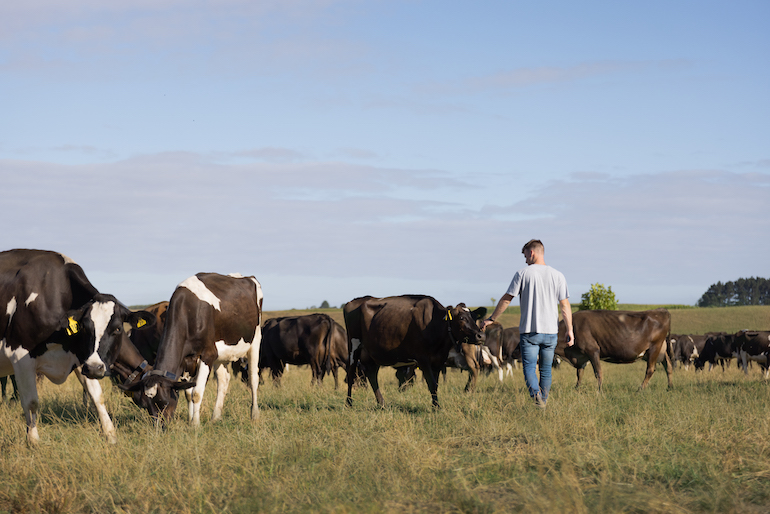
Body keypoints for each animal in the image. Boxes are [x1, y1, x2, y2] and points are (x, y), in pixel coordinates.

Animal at [0, 249, 155, 444]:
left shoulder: (83, 359)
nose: (96, 368)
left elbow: (97, 396)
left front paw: (110, 435)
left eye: (118, 329)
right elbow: (31, 402)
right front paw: (33, 441)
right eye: (84, 327)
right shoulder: (20, 356)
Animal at [130, 273, 263, 426]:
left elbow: (196, 393)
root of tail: (245, 276)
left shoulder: (207, 355)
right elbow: (188, 393)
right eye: (146, 405)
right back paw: (215, 417)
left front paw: (195, 424)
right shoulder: (187, 360)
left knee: (253, 378)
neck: (188, 312)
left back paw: (255, 414)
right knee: (223, 380)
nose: (159, 427)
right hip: (222, 355)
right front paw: (190, 420)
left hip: (255, 340)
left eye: (164, 402)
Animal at [344, 295, 485, 408]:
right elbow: (431, 384)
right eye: (461, 318)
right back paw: (349, 403)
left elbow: (435, 384)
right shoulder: (422, 359)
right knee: (351, 374)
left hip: (373, 353)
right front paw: (436, 408)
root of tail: (354, 301)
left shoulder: (438, 361)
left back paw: (382, 404)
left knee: (372, 375)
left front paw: (435, 405)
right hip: (353, 346)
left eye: (474, 317)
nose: (481, 335)